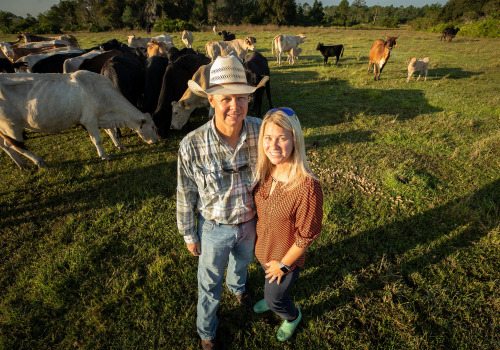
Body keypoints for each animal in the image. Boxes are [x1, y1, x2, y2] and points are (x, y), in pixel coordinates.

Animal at [0, 70, 158, 169]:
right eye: (152, 127)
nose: (157, 140)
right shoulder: (89, 119)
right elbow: (97, 140)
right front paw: (104, 155)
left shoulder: (100, 117)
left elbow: (111, 132)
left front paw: (119, 145)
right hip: (12, 125)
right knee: (15, 146)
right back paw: (39, 161)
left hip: (5, 128)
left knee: (5, 146)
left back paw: (22, 165)